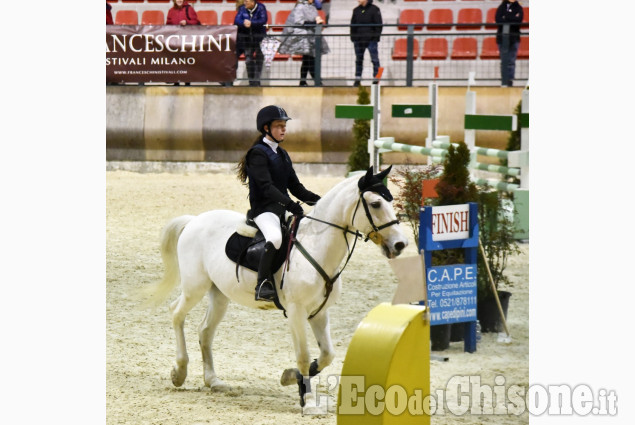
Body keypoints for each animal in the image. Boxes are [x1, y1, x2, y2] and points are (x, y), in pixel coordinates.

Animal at [149, 166, 408, 410]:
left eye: (390, 201)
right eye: (375, 204)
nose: (400, 244)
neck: (317, 247)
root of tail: (194, 220)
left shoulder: (320, 312)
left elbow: (327, 355)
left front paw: (291, 377)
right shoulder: (296, 311)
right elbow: (303, 356)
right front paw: (307, 397)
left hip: (220, 294)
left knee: (204, 330)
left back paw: (213, 381)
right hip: (196, 287)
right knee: (176, 313)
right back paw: (179, 372)